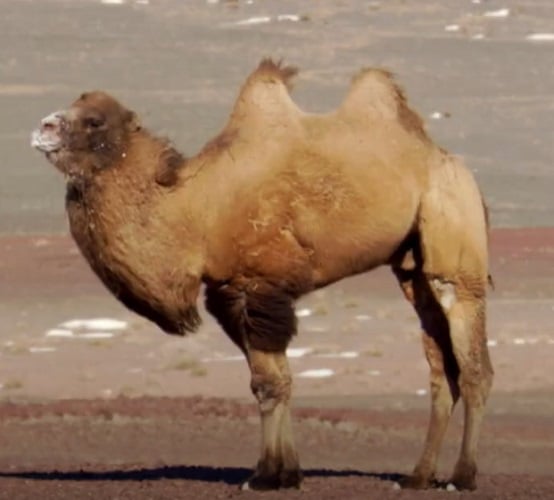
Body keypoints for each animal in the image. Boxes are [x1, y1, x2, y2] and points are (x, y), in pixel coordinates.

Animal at [31, 59, 492, 492]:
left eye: (94, 120)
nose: (42, 127)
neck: (195, 211)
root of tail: (450, 161)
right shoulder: (228, 295)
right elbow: (273, 381)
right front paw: (286, 473)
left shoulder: (259, 288)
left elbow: (270, 384)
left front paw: (266, 476)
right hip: (411, 269)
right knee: (441, 370)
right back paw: (418, 476)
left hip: (455, 239)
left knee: (472, 362)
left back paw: (463, 476)